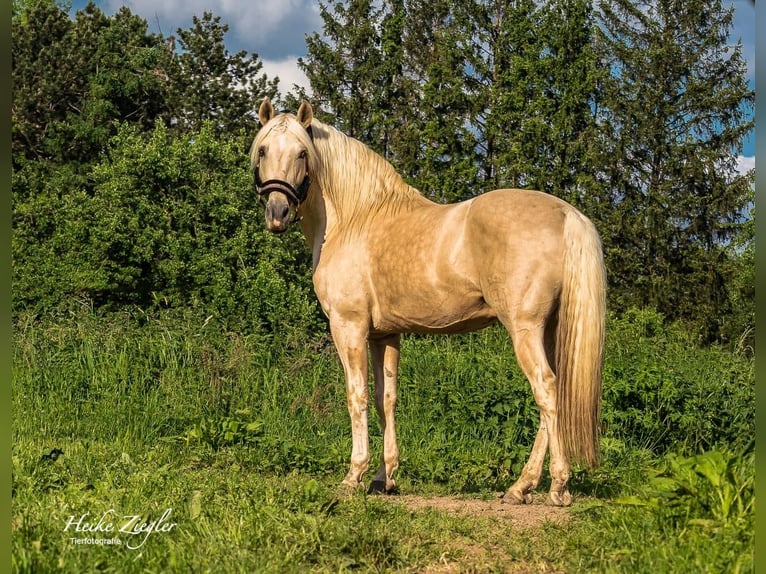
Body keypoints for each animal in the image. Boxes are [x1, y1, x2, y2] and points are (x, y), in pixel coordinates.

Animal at [250, 99, 608, 508]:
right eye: (264, 150)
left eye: (301, 153)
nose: (277, 214)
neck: (355, 219)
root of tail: (566, 213)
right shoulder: (384, 335)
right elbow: (385, 399)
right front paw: (384, 478)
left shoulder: (348, 327)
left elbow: (356, 396)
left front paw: (354, 476)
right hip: (548, 330)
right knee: (554, 398)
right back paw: (521, 486)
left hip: (525, 329)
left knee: (546, 390)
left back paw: (557, 486)